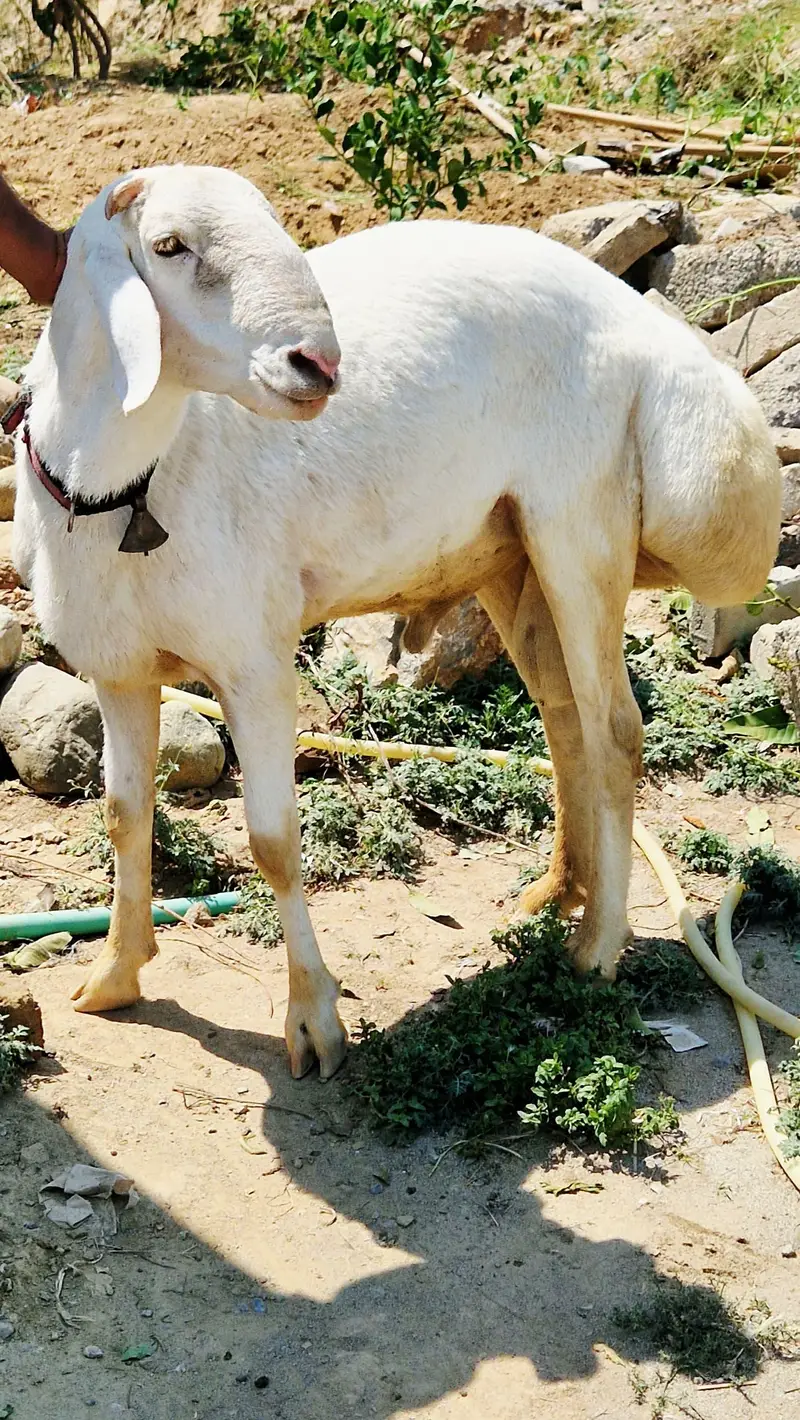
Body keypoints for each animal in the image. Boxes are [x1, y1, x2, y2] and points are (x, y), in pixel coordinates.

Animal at [13, 164, 781, 1081]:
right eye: (168, 246)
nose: (319, 361)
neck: (127, 485)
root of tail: (655, 332)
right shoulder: (119, 666)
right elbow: (124, 817)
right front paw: (116, 974)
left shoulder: (253, 661)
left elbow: (273, 840)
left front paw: (313, 1021)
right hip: (512, 556)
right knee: (565, 723)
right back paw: (561, 889)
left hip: (581, 528)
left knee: (615, 731)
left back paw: (598, 945)